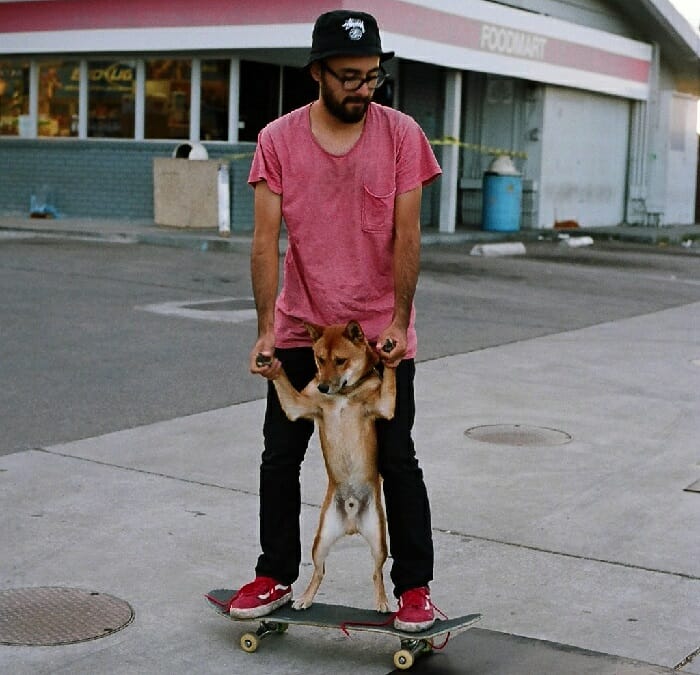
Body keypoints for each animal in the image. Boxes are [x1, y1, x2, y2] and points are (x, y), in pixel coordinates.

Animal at [264, 320, 394, 612]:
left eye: (340, 360)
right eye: (320, 359)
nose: (323, 386)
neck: (344, 394)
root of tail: (351, 523)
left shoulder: (384, 406)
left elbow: (390, 380)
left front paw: (393, 354)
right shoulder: (298, 406)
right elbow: (284, 384)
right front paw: (272, 365)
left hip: (379, 540)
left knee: (377, 572)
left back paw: (382, 601)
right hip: (321, 540)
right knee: (319, 571)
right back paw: (305, 598)